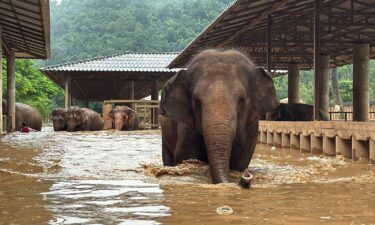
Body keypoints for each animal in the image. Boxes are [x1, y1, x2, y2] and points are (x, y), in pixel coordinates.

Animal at [159, 48, 280, 184]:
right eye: (197, 101)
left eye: (241, 100)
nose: (246, 175)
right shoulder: (187, 128)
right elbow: (186, 156)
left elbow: (240, 162)